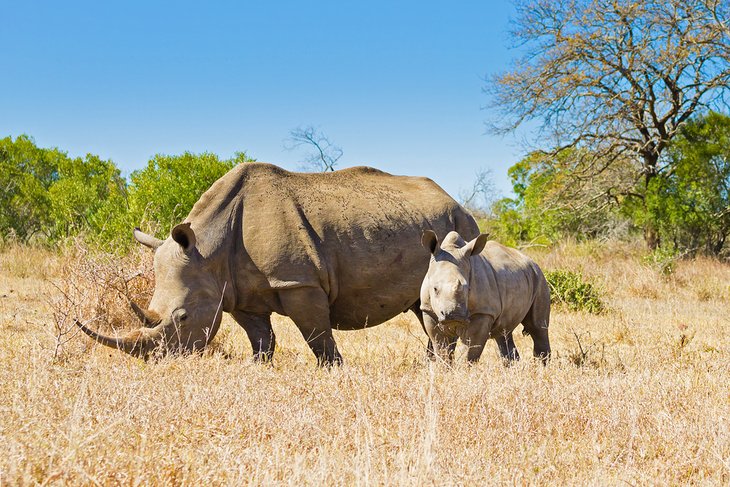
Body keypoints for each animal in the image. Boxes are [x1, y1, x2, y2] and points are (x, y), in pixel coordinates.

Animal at [77, 164, 478, 366]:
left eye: (183, 317)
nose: (159, 362)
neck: (208, 249)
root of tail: (455, 200)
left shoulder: (298, 282)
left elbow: (318, 336)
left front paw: (333, 371)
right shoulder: (236, 293)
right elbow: (261, 339)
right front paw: (257, 368)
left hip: (461, 226)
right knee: (422, 308)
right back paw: (431, 366)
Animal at [418, 231, 548, 364]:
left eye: (469, 289)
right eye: (435, 289)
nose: (454, 315)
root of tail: (532, 261)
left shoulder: (482, 312)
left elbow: (469, 351)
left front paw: (464, 368)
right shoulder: (428, 310)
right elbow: (441, 349)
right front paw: (445, 367)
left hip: (539, 277)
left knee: (537, 328)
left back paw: (541, 365)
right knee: (504, 333)